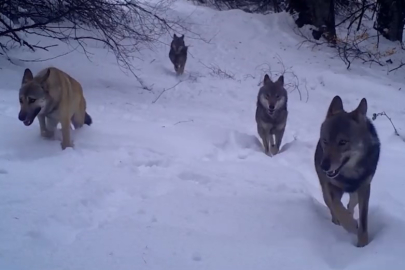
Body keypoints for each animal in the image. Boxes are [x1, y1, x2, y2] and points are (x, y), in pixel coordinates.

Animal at [314, 96, 380, 248]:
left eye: (342, 142)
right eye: (325, 141)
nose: (323, 166)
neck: (351, 174)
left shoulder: (365, 188)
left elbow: (363, 221)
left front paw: (363, 244)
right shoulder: (331, 187)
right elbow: (337, 207)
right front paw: (350, 225)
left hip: (356, 194)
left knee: (350, 204)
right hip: (325, 190)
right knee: (333, 206)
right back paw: (338, 221)